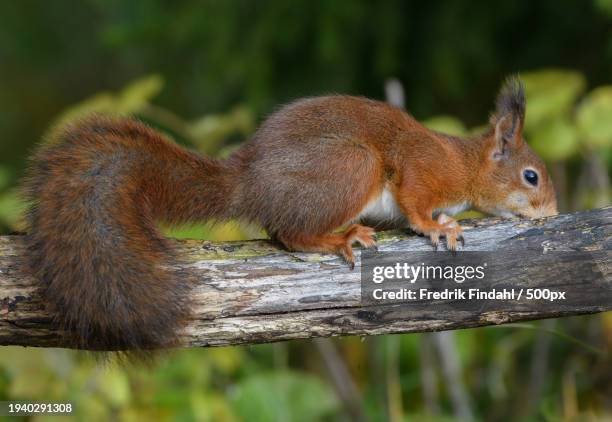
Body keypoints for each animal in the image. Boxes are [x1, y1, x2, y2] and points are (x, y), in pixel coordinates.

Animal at [22, 76, 560, 352]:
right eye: (531, 176)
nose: (554, 212)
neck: (465, 164)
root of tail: (249, 182)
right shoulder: (421, 170)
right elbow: (413, 200)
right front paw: (437, 226)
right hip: (351, 166)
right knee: (291, 234)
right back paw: (339, 238)